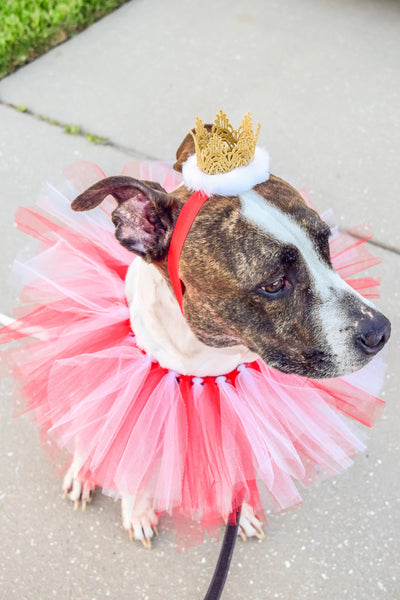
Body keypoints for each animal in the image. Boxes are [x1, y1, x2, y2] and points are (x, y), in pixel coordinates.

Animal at [60, 124, 390, 548]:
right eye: (274, 284)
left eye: (325, 245)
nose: (380, 331)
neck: (206, 357)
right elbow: (133, 459)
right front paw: (138, 509)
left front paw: (240, 507)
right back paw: (83, 471)